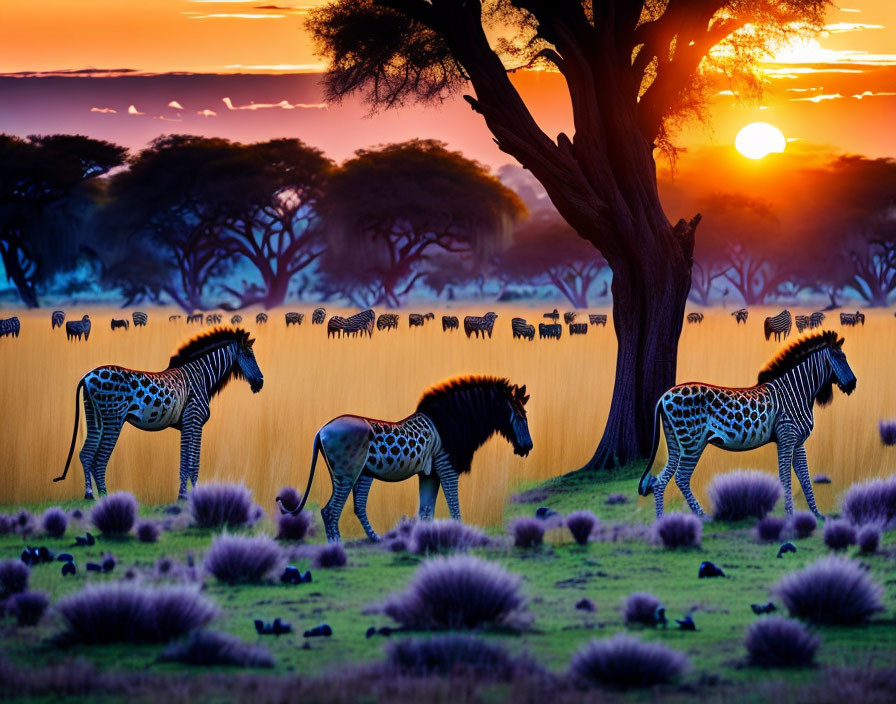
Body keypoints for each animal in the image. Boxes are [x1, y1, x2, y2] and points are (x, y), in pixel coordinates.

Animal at [54, 328, 264, 500]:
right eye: (248, 354)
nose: (260, 382)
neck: (202, 376)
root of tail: (87, 376)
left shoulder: (189, 424)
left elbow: (190, 461)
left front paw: (190, 494)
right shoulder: (193, 420)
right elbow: (191, 462)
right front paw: (187, 496)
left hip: (95, 416)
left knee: (86, 453)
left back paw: (90, 495)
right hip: (113, 418)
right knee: (99, 459)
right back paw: (105, 498)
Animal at [290, 376, 532, 540]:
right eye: (520, 417)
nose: (528, 447)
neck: (452, 422)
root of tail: (322, 429)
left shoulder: (430, 474)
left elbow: (425, 512)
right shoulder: (447, 467)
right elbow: (454, 508)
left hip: (359, 473)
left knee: (355, 506)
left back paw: (376, 540)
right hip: (347, 473)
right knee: (330, 510)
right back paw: (337, 547)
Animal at [640, 328, 856, 516]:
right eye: (841, 357)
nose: (853, 384)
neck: (795, 392)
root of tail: (664, 396)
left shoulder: (798, 441)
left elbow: (804, 477)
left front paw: (817, 515)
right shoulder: (786, 438)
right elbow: (786, 476)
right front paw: (790, 516)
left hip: (676, 442)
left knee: (659, 481)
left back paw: (661, 522)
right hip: (693, 443)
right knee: (681, 478)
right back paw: (703, 517)